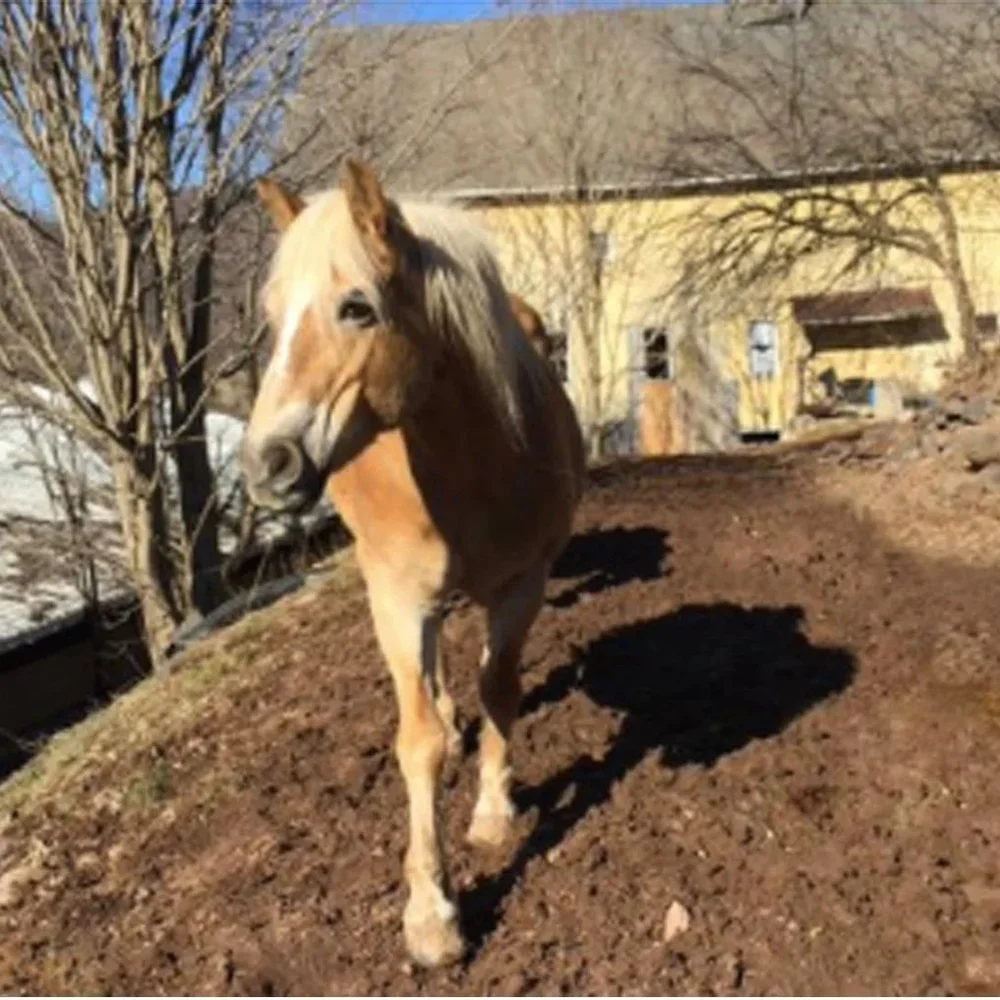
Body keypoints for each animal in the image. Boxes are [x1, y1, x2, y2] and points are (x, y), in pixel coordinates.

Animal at [240, 159, 585, 968]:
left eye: (357, 307)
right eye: (273, 316)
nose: (266, 464)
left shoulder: (521, 584)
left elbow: (500, 689)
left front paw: (493, 812)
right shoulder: (398, 602)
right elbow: (418, 741)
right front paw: (432, 915)